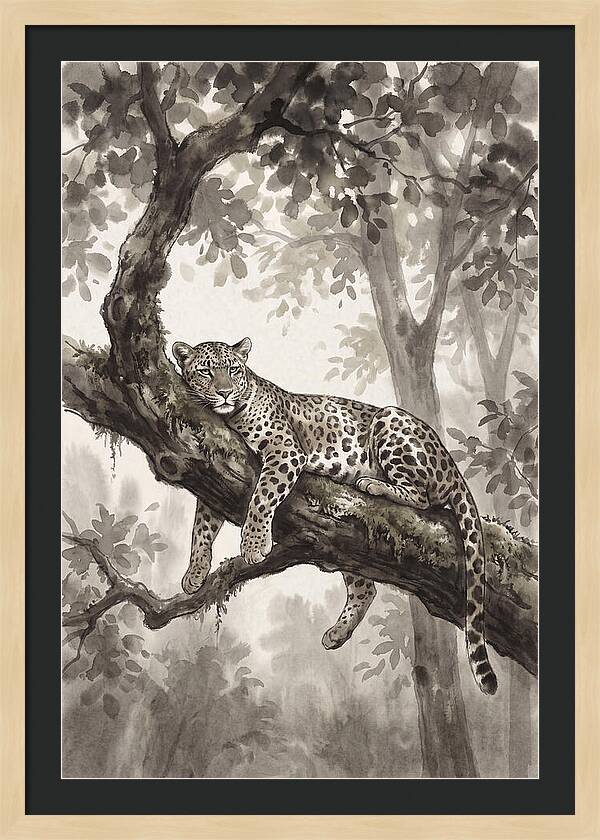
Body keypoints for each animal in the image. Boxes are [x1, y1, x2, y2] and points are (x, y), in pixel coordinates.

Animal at [173, 337, 497, 695]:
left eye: (233, 370)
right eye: (205, 371)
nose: (225, 392)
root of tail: (452, 465)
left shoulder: (285, 451)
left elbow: (261, 497)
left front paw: (255, 545)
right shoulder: (216, 468)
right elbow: (202, 526)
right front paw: (195, 572)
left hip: (390, 421)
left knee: (421, 497)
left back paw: (372, 483)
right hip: (346, 546)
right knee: (365, 588)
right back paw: (337, 634)